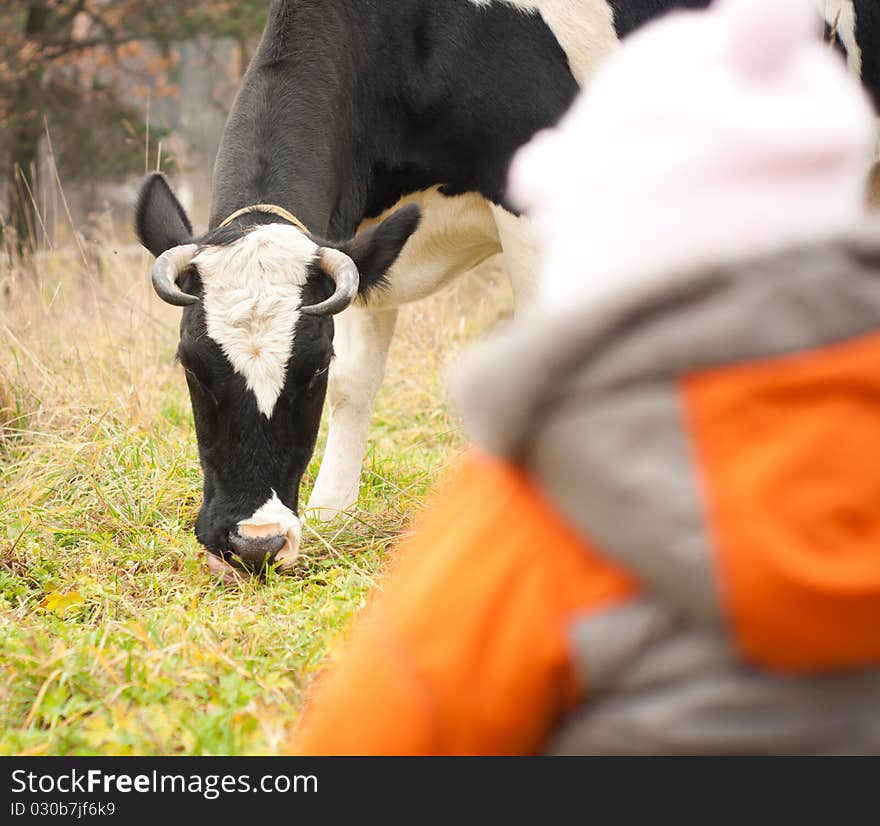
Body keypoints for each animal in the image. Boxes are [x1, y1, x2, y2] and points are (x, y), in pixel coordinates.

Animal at [134, 0, 876, 572]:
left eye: (308, 369)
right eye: (190, 365)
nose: (255, 543)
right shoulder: (361, 235)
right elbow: (359, 381)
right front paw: (332, 509)